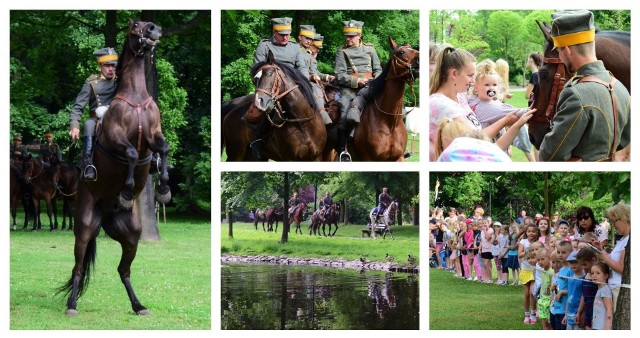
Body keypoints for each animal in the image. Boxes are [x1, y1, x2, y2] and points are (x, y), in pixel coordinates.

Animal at [57, 20, 171, 316]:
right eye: (135, 26)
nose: (154, 29)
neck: (135, 96)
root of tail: (104, 214)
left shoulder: (154, 135)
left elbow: (164, 149)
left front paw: (164, 189)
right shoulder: (117, 137)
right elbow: (130, 153)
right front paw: (127, 191)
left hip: (131, 236)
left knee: (124, 270)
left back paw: (138, 305)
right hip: (84, 228)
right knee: (77, 268)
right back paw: (71, 305)